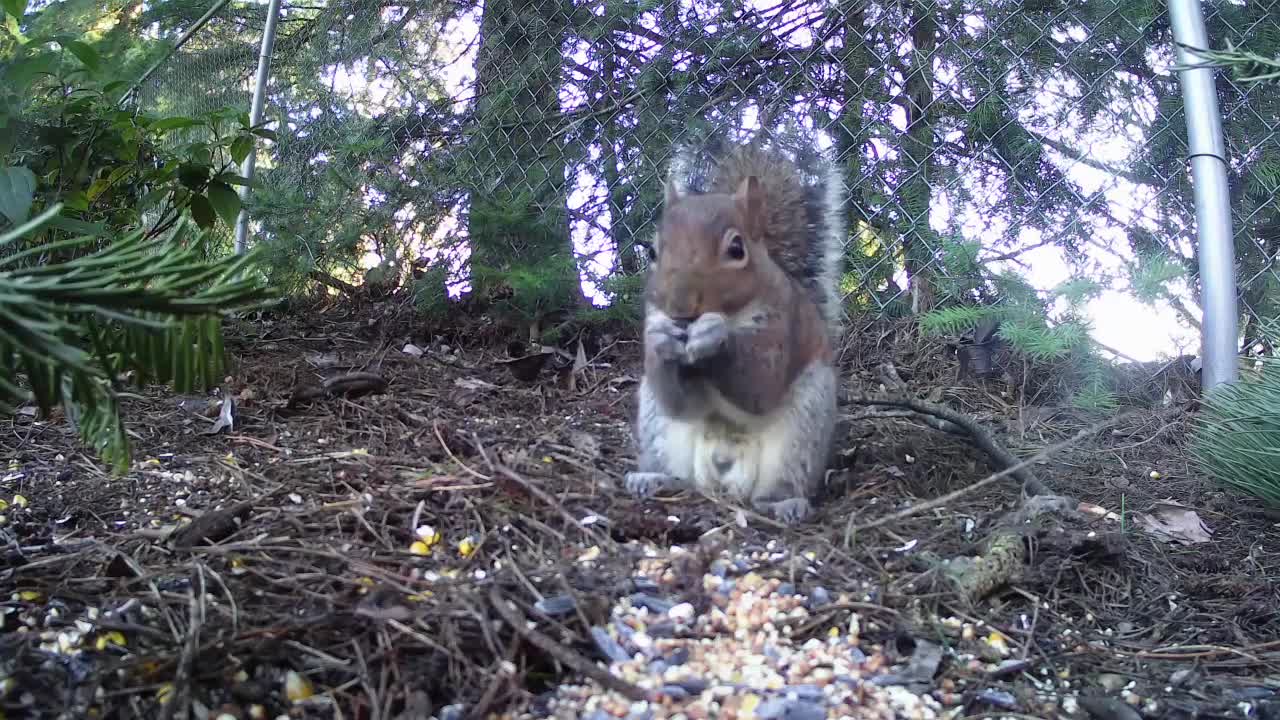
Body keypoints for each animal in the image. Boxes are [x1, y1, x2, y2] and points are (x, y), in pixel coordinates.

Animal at [622, 133, 844, 520]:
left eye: (737, 249)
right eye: (652, 252)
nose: (680, 309)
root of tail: (723, 474)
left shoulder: (783, 325)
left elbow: (760, 384)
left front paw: (716, 337)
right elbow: (679, 401)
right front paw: (661, 342)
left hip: (803, 426)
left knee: (782, 481)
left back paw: (784, 503)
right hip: (658, 427)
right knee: (675, 469)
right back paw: (652, 479)